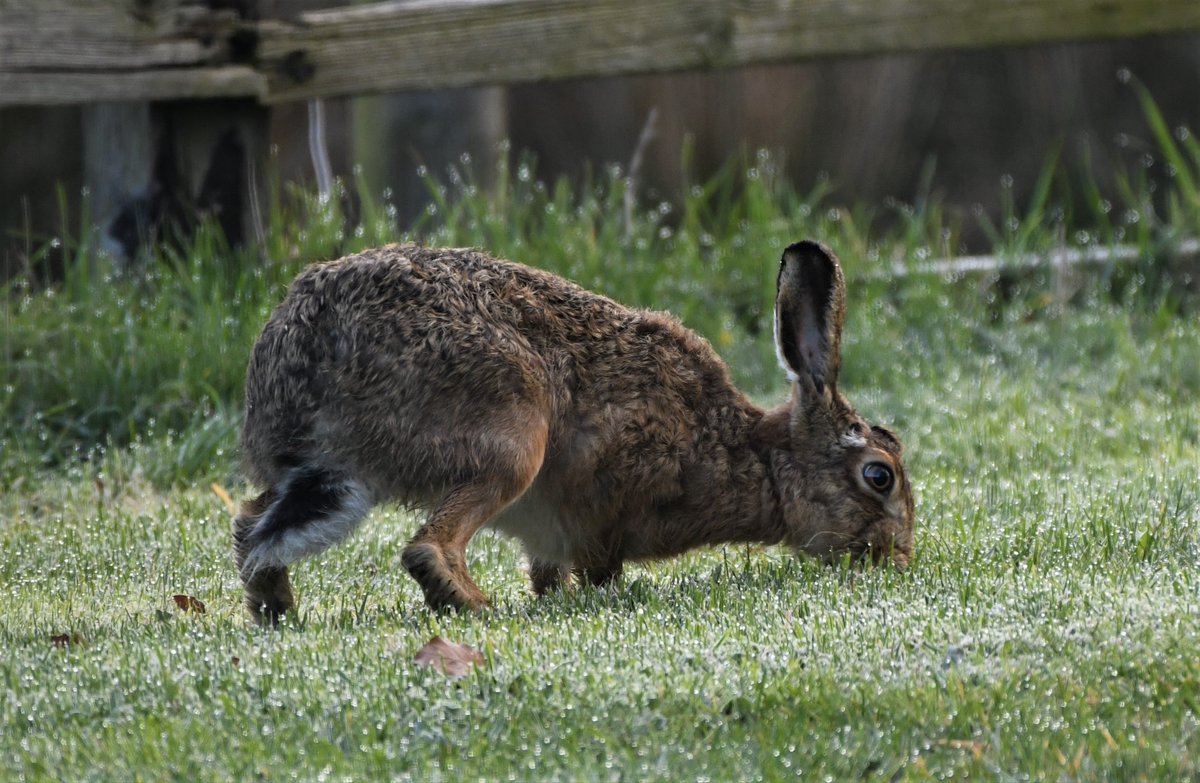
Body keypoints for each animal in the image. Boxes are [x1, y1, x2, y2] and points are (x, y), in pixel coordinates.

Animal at [232, 240, 914, 624]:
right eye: (878, 476)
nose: (899, 557)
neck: (754, 458)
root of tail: (311, 350)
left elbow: (547, 571)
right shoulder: (604, 516)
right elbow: (594, 570)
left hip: (316, 474)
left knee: (253, 526)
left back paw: (275, 608)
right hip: (512, 445)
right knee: (427, 546)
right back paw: (476, 606)